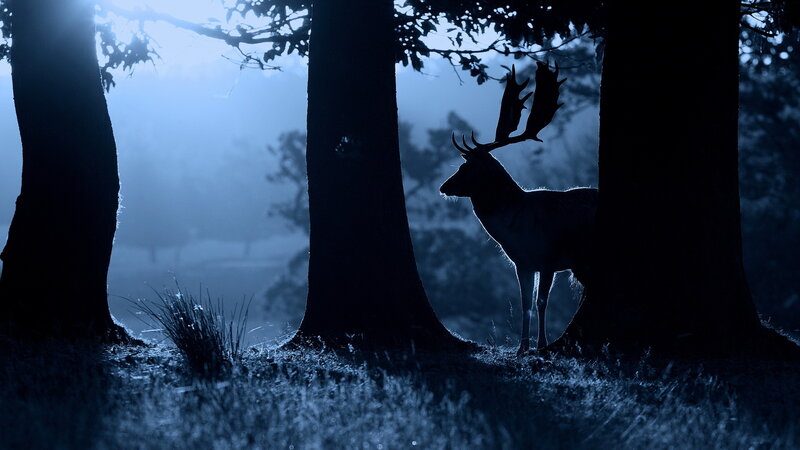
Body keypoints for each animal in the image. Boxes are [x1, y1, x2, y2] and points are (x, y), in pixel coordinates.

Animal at [440, 62, 597, 355]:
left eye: (467, 168)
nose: (444, 187)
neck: (517, 229)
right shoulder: (522, 263)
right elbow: (525, 304)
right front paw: (522, 347)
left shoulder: (549, 258)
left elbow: (541, 303)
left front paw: (541, 345)